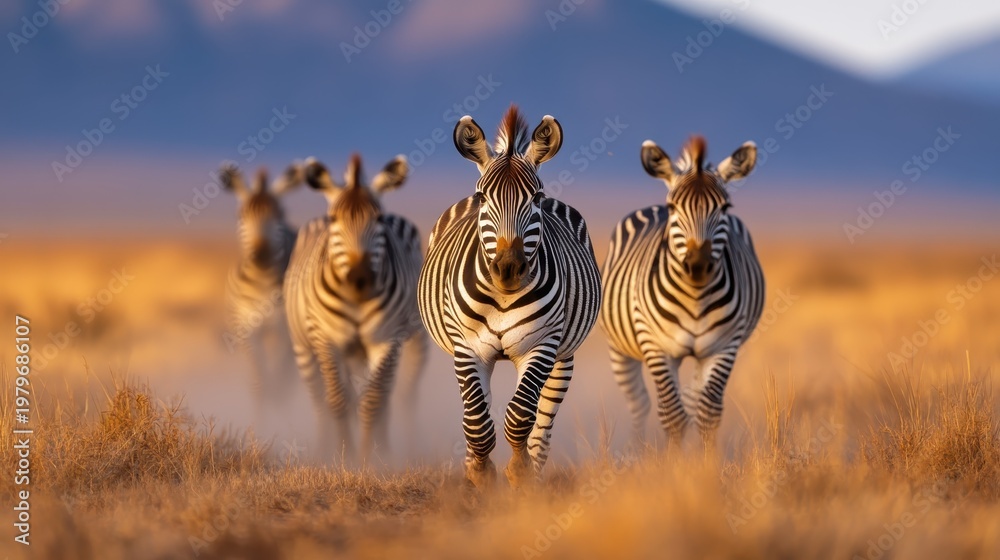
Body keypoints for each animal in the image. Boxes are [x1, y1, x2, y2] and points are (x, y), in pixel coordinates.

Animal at [220, 163, 302, 422]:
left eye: (279, 214)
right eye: (240, 216)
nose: (261, 254)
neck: (261, 283)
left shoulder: (283, 331)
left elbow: (280, 384)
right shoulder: (246, 330)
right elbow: (260, 384)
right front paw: (259, 429)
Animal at [284, 153, 426, 464]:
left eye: (379, 219)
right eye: (334, 219)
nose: (360, 278)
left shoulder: (387, 340)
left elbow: (372, 401)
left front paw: (370, 459)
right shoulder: (326, 339)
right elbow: (338, 400)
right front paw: (343, 455)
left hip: (414, 341)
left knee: (397, 395)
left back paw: (389, 449)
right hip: (303, 347)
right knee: (319, 400)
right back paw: (322, 447)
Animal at [418, 105, 601, 489]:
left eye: (535, 199)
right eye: (483, 198)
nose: (508, 268)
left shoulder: (541, 345)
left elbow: (520, 416)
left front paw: (519, 473)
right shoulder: (467, 347)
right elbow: (476, 420)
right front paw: (481, 474)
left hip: (564, 356)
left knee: (541, 423)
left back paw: (535, 472)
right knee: (477, 410)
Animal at [599, 136, 764, 455]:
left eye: (725, 206)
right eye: (673, 206)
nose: (698, 265)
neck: (695, 297)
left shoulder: (724, 346)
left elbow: (708, 412)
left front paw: (705, 465)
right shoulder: (656, 346)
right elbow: (673, 416)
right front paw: (674, 465)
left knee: (694, 400)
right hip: (619, 348)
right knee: (639, 403)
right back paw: (635, 451)